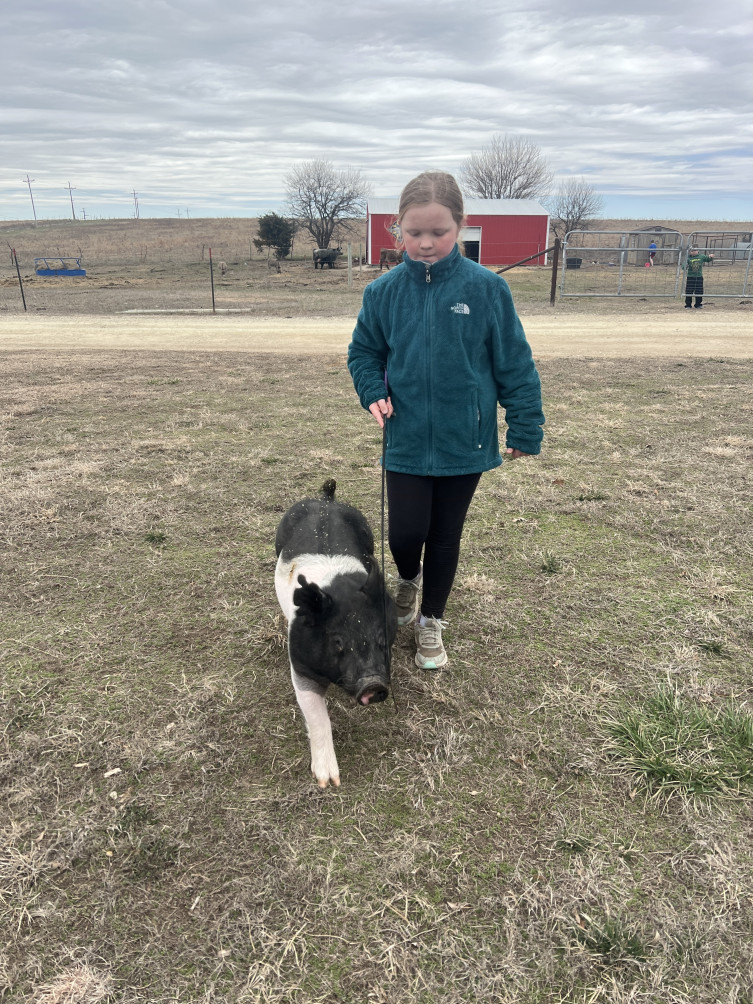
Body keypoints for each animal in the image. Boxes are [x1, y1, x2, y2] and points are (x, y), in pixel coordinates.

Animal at [274, 479, 397, 787]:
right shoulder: (301, 666)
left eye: (382, 639)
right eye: (338, 641)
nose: (373, 684)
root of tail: (325, 499)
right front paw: (328, 782)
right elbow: (317, 716)